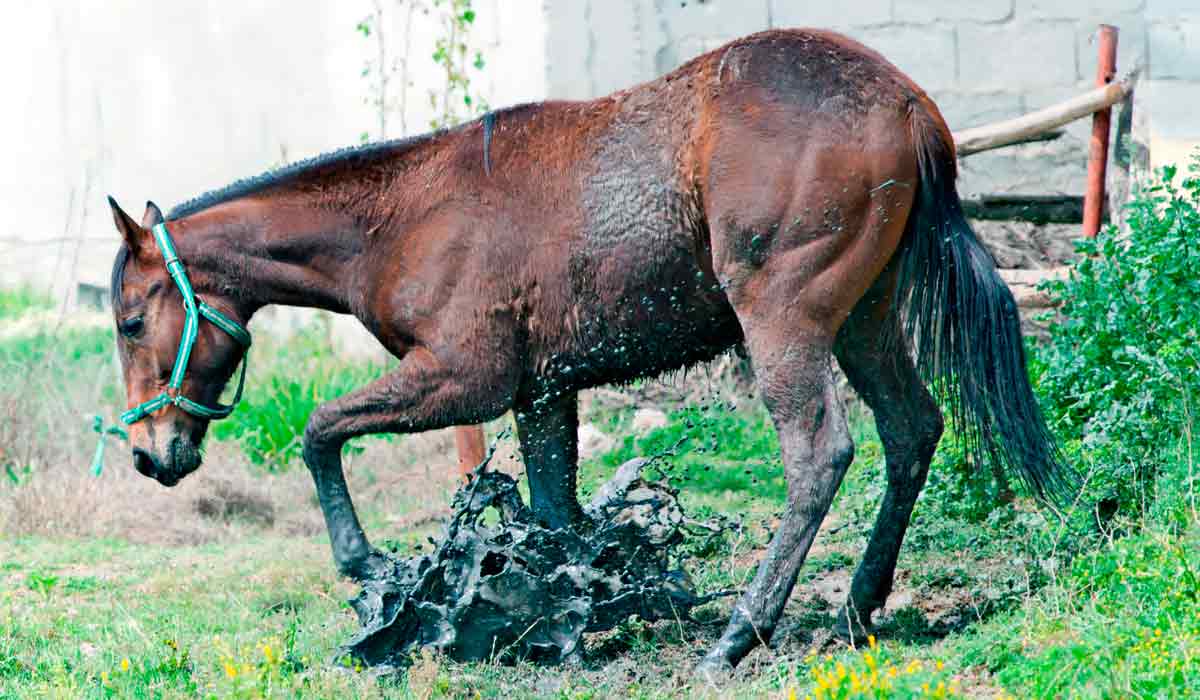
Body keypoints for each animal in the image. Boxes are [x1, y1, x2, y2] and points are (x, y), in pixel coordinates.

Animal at [108, 28, 1070, 677]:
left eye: (128, 321)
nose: (152, 455)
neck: (399, 218)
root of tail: (908, 104)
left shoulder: (465, 380)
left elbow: (320, 430)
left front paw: (368, 570)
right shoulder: (542, 395)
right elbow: (553, 511)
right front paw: (566, 613)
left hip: (787, 321)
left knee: (819, 453)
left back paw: (740, 633)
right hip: (865, 319)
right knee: (912, 430)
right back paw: (856, 612)